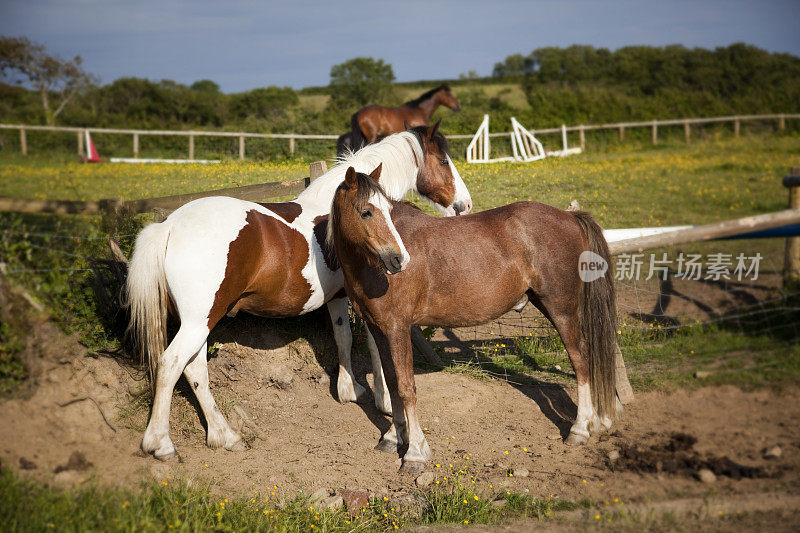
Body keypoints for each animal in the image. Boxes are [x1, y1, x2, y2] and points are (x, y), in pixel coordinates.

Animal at [126, 125, 468, 462]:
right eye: (443, 160)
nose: (465, 205)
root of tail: (169, 225)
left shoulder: (338, 297)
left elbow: (343, 338)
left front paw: (349, 390)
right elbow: (374, 347)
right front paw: (383, 401)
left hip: (199, 322)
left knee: (195, 369)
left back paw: (224, 435)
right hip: (199, 322)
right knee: (171, 364)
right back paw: (161, 444)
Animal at [328, 167, 628, 474]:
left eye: (388, 210)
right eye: (366, 212)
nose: (399, 259)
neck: (370, 267)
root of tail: (571, 217)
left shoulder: (398, 328)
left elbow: (406, 387)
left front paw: (415, 452)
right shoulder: (379, 328)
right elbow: (391, 381)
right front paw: (394, 436)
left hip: (561, 309)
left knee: (580, 358)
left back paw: (580, 429)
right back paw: (596, 422)